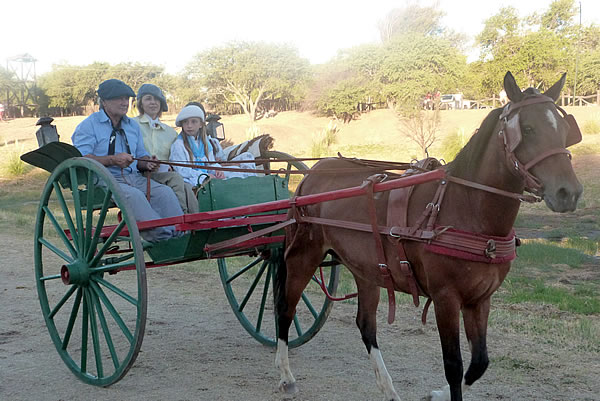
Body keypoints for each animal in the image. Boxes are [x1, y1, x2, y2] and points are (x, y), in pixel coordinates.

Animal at [274, 72, 584, 400]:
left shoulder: (480, 299)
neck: (466, 206)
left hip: (367, 269)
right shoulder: (445, 298)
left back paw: (388, 388)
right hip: (304, 255)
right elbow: (454, 365)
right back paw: (286, 375)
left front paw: (437, 393)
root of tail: (312, 174)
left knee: (366, 325)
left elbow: (479, 362)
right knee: (285, 308)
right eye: (527, 129)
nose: (569, 192)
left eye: (565, 130)